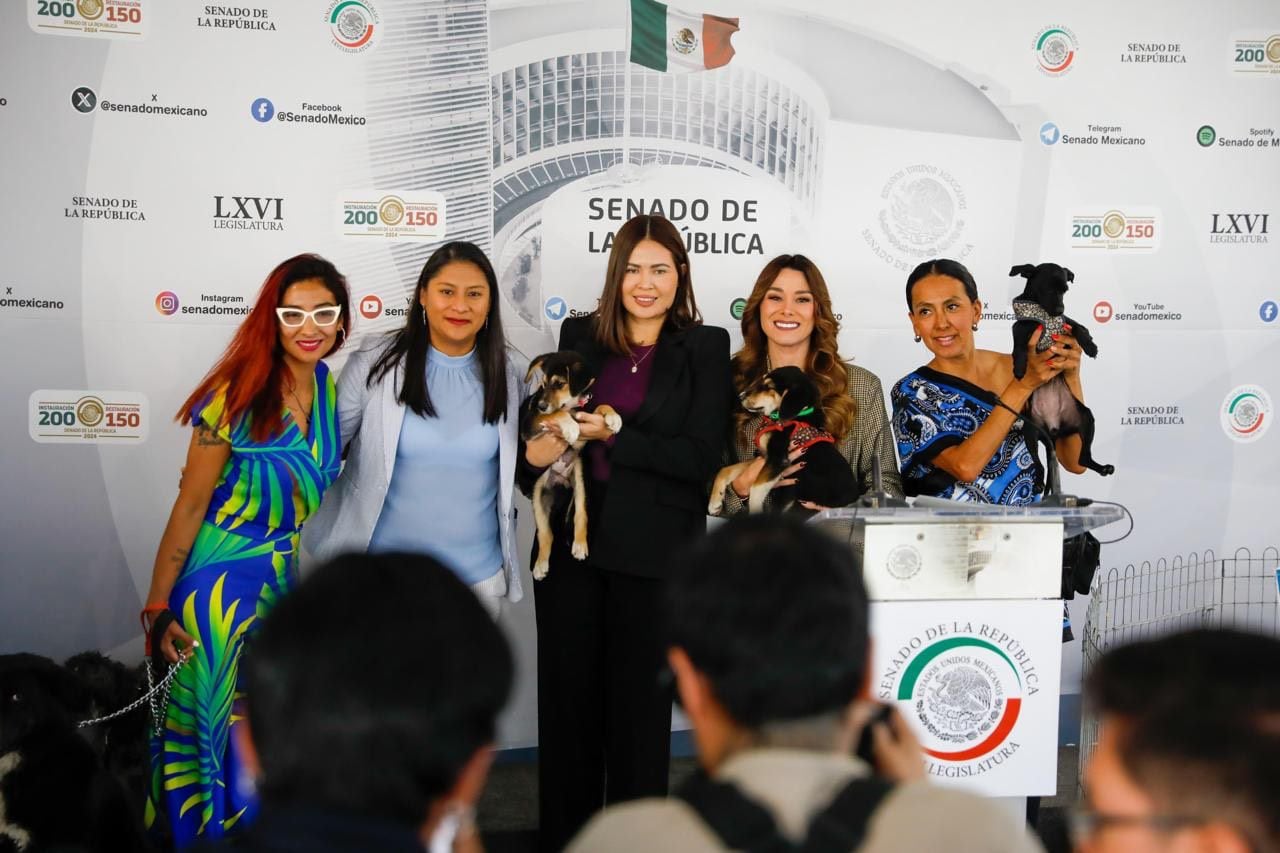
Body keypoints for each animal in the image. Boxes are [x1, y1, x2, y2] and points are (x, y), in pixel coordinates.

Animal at [517, 350, 622, 578]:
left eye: (559, 384)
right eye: (543, 383)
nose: (540, 406)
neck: (573, 406)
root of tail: (560, 483)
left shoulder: (584, 430)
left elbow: (598, 406)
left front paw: (613, 416)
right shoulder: (530, 425)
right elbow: (557, 413)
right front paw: (570, 425)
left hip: (580, 477)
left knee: (580, 515)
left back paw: (580, 545)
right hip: (538, 496)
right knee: (546, 534)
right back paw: (540, 565)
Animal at [711, 363, 860, 512]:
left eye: (768, 387)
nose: (740, 396)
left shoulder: (777, 459)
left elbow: (755, 489)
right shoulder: (764, 456)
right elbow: (726, 469)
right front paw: (714, 503)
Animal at [1013, 262, 1116, 479]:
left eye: (1065, 290)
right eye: (1046, 289)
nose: (1060, 308)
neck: (1046, 316)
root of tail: (1053, 430)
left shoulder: (1066, 324)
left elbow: (1079, 328)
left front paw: (1090, 346)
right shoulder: (1020, 326)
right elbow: (1019, 342)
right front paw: (1019, 367)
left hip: (1086, 418)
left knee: (1082, 459)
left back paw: (1103, 468)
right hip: (1030, 430)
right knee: (1039, 465)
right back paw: (1038, 480)